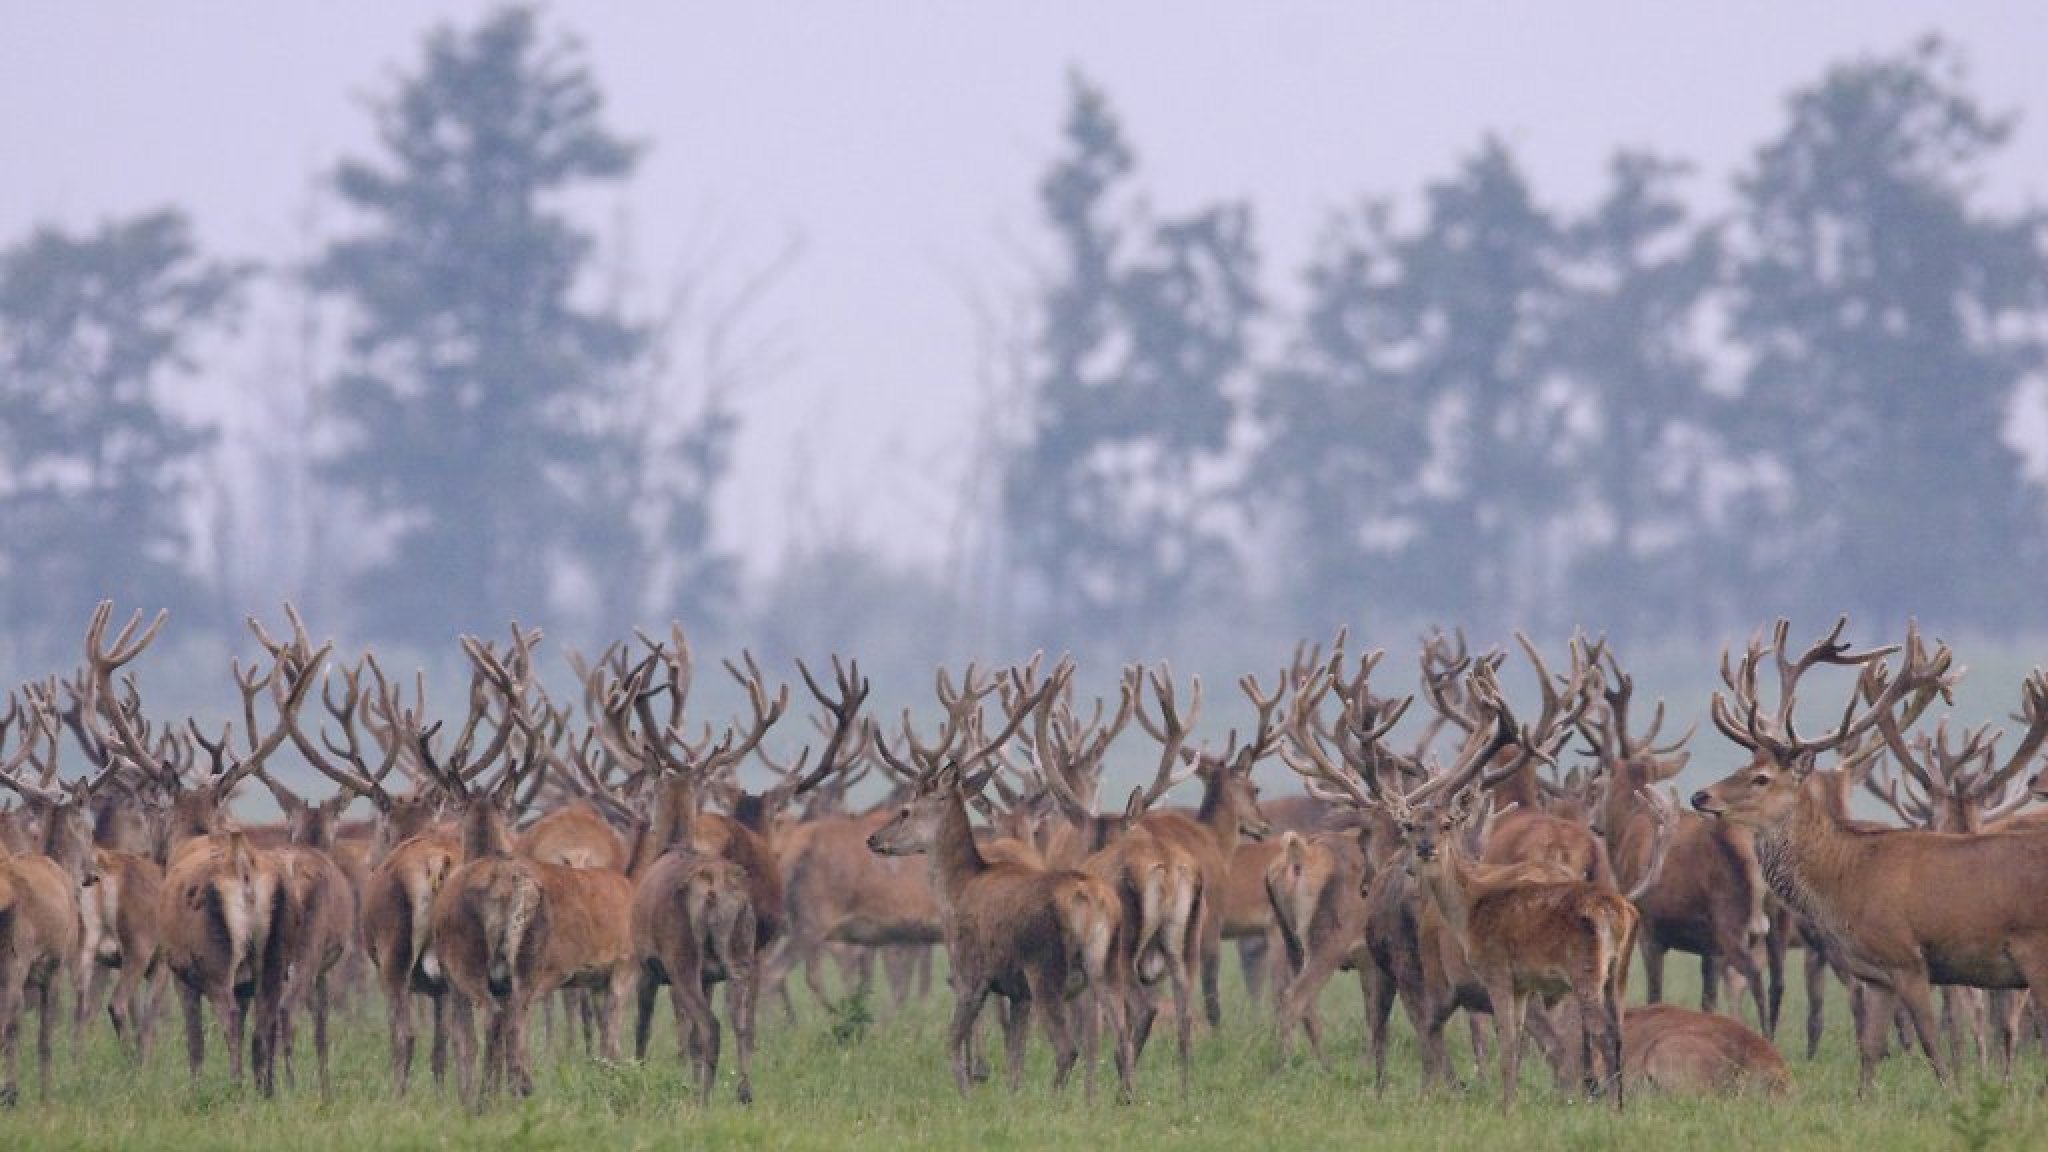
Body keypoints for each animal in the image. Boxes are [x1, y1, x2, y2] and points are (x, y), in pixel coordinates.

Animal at [1695, 614, 2048, 1090]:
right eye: (1744, 765)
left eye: (1761, 778)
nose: (1699, 795)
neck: (1845, 880)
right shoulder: (1874, 973)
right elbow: (1869, 1051)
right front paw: (1868, 1097)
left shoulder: (1908, 957)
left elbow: (1931, 1044)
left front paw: (1953, 1094)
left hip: (2036, 949)